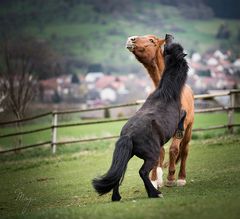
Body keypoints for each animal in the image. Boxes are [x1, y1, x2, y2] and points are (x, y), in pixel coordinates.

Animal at [92, 35, 188, 200]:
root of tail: (128, 135)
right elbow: (183, 114)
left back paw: (117, 197)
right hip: (151, 156)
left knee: (120, 173)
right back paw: (155, 193)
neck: (166, 94)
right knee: (143, 172)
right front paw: (180, 131)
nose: (168, 36)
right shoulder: (177, 114)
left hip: (128, 155)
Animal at [125, 33, 195, 187]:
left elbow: (174, 150)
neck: (167, 94)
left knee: (184, 150)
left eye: (151, 40)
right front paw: (154, 180)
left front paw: (170, 178)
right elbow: (158, 153)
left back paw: (181, 178)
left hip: (188, 129)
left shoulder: (180, 127)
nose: (131, 39)